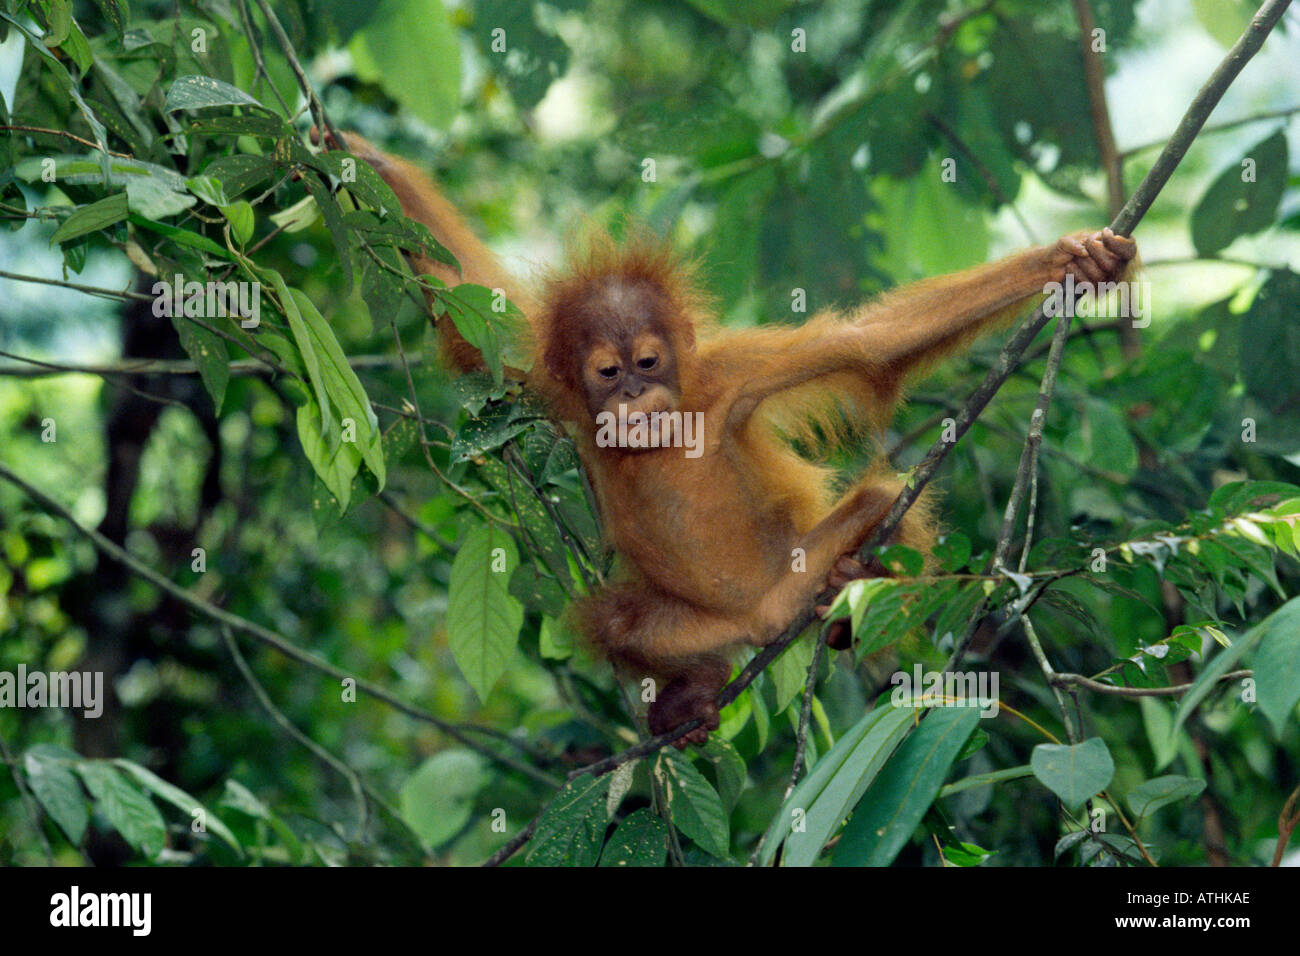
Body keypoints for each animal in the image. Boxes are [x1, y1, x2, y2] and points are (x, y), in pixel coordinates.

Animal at [322, 131, 1137, 747]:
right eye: (609, 371)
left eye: (650, 363)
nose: (636, 395)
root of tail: (763, 616)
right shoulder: (542, 379)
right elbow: (464, 297)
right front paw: (355, 152)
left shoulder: (735, 375)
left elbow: (869, 347)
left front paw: (1069, 260)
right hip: (704, 623)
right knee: (616, 620)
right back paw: (692, 699)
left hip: (797, 568)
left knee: (881, 499)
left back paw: (850, 594)